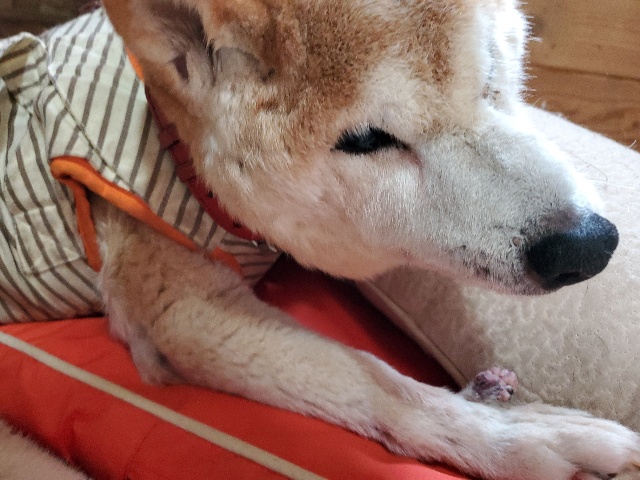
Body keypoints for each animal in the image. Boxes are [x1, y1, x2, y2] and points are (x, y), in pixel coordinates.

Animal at [1, 0, 638, 478]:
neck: (172, 145)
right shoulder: (178, 311)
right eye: (364, 141)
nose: (589, 245)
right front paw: (517, 434)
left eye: (489, 80)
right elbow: (375, 380)